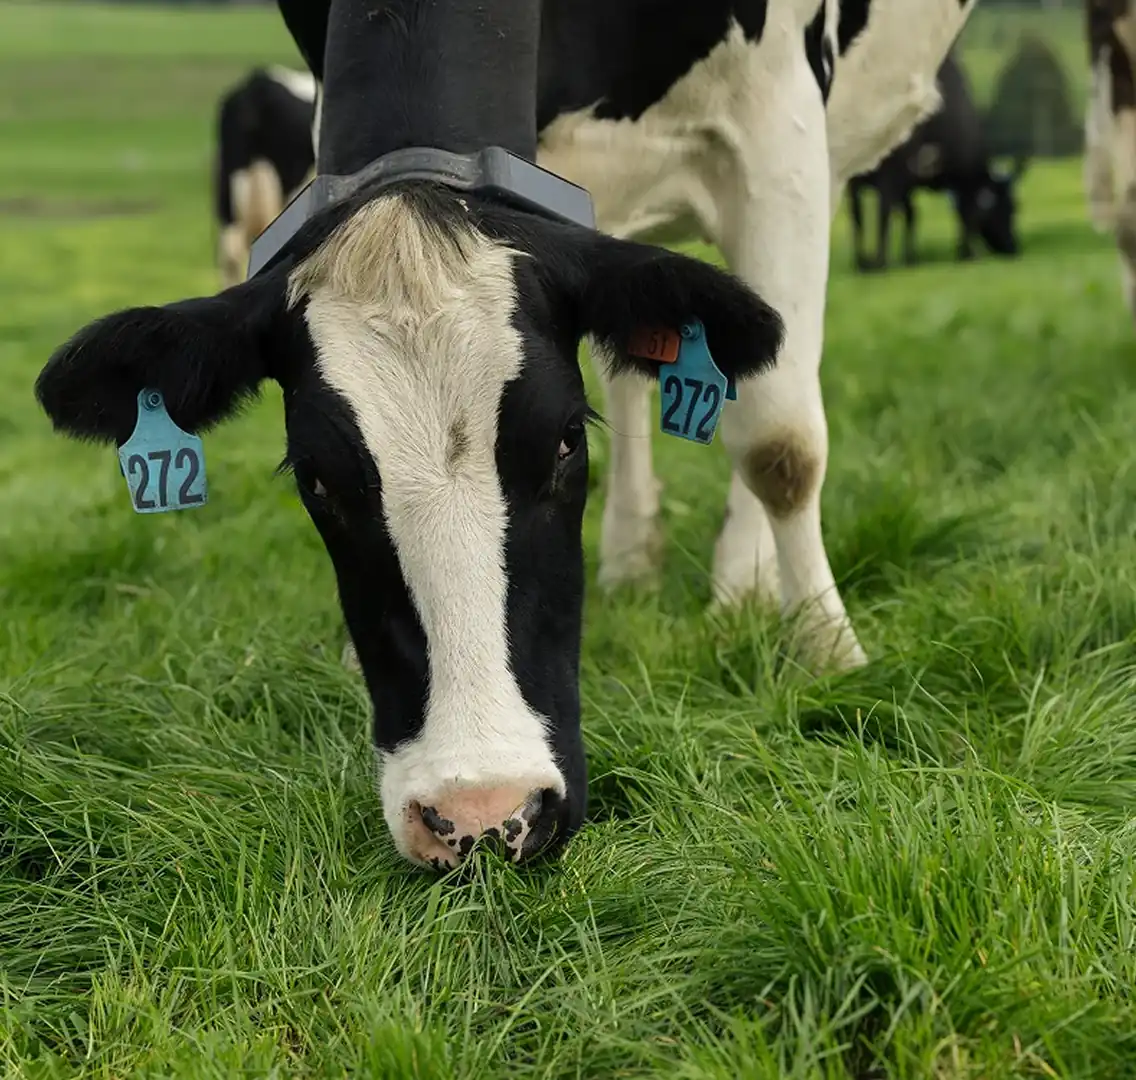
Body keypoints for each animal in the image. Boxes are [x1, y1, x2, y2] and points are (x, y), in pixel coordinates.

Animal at [847, 53, 1024, 271]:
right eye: (1010, 207)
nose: (1013, 247)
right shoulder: (959, 178)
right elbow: (966, 214)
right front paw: (967, 254)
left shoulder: (908, 184)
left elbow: (911, 214)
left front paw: (910, 258)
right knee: (880, 212)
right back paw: (879, 263)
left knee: (857, 215)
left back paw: (861, 262)